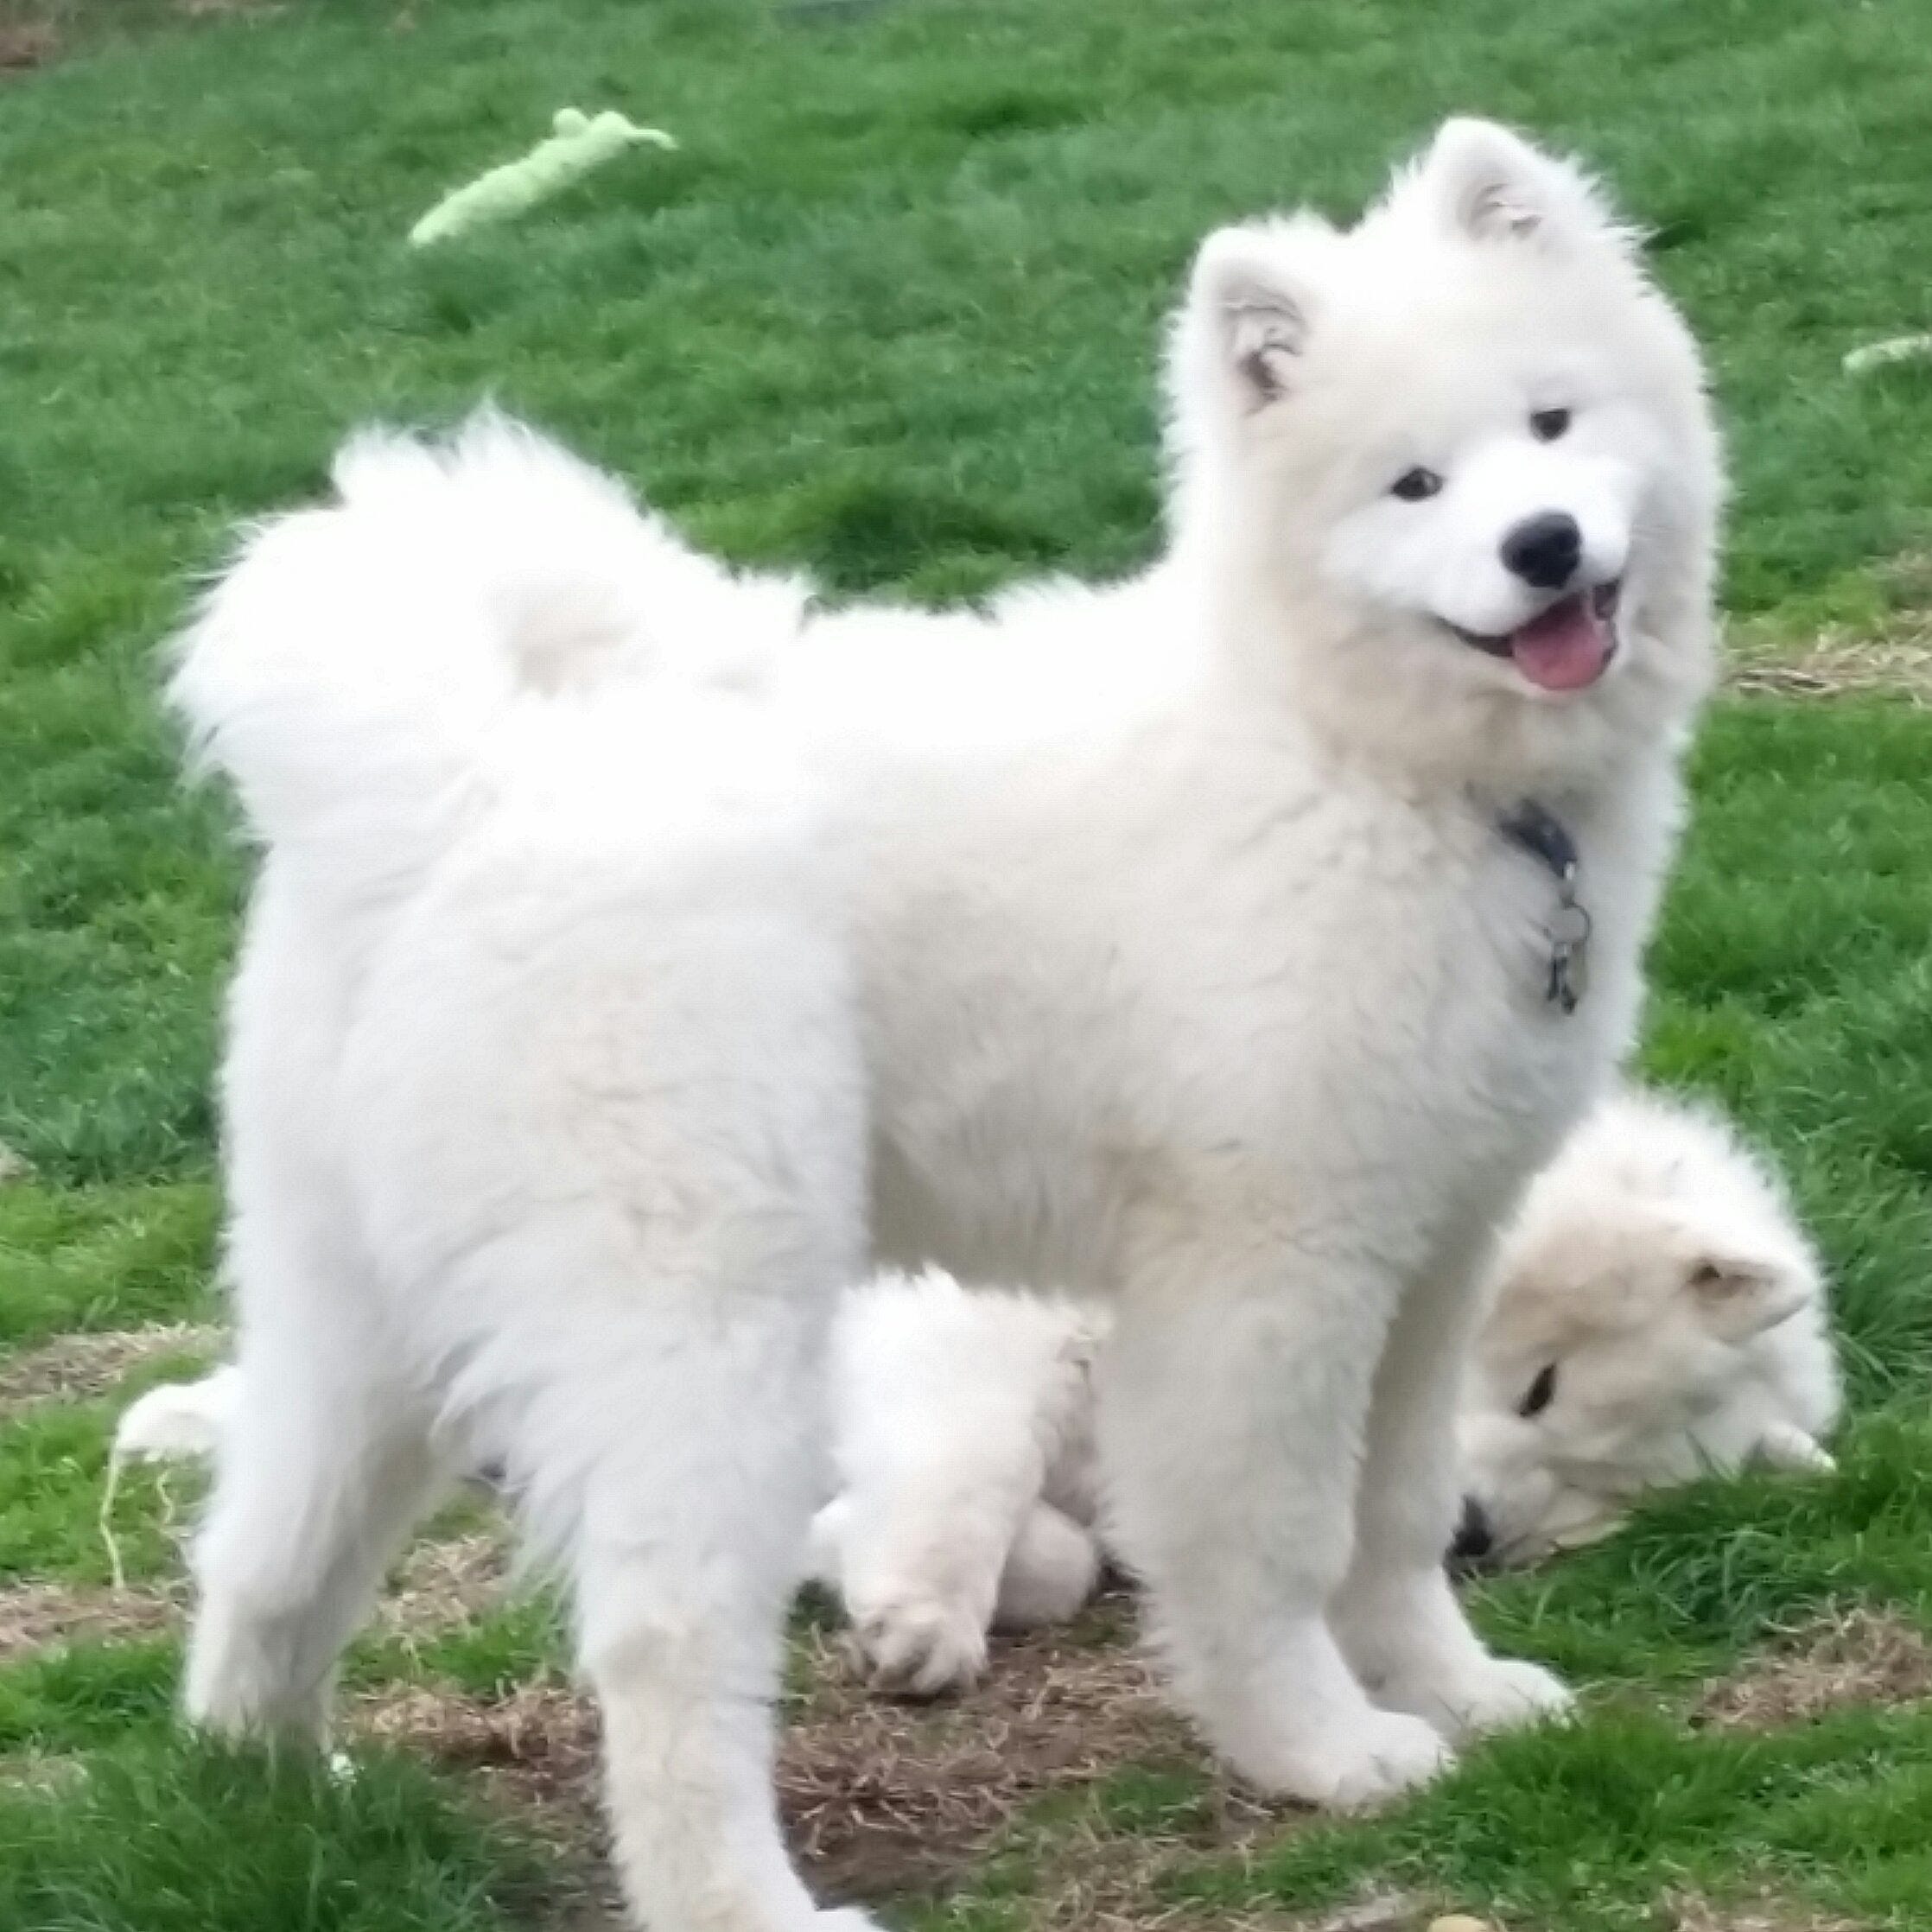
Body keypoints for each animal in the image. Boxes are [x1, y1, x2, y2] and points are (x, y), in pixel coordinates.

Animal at [169, 120, 1723, 1932]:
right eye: (1412, 487)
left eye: (1549, 426)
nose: (1543, 545)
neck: (1363, 756)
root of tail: (464, 783)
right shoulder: (1265, 1272)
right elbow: (1269, 1544)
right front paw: (1322, 1753)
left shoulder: (1434, 1245)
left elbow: (1397, 1516)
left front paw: (1460, 1695)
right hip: (696, 1318)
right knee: (662, 1639)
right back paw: (745, 1904)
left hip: (354, 1305)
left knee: (267, 1540)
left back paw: (263, 1787)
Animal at [804, 1097, 1839, 1700]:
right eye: (1543, 1387)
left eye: (1594, 1491)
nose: (1469, 1532)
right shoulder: (990, 1317)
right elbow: (976, 1465)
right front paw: (921, 1618)